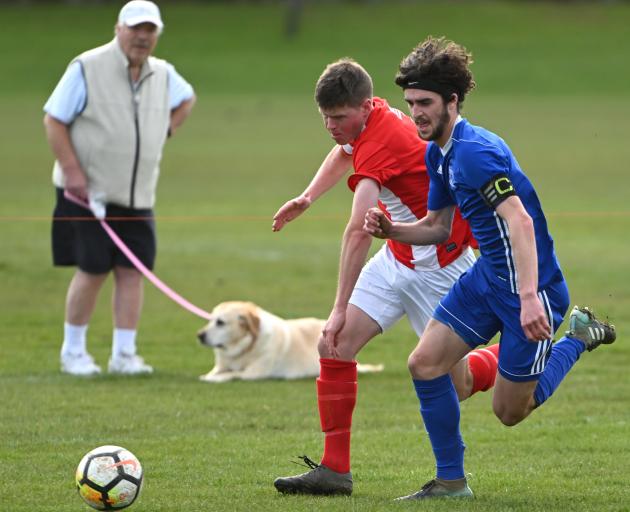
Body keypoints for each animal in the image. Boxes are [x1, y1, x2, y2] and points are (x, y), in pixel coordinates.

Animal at [198, 302, 386, 382]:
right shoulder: (222, 365)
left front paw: (212, 379)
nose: (200, 335)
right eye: (210, 319)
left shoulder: (253, 373)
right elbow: (219, 372)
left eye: (220, 322)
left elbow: (231, 374)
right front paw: (209, 376)